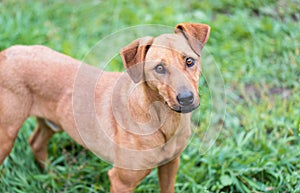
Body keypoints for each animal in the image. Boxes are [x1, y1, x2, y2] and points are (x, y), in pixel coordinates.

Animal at [0, 23, 210, 193]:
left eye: (189, 61)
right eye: (159, 68)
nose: (186, 99)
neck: (163, 121)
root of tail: (7, 53)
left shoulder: (170, 165)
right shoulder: (121, 181)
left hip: (52, 123)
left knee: (36, 143)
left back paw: (53, 176)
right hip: (6, 136)